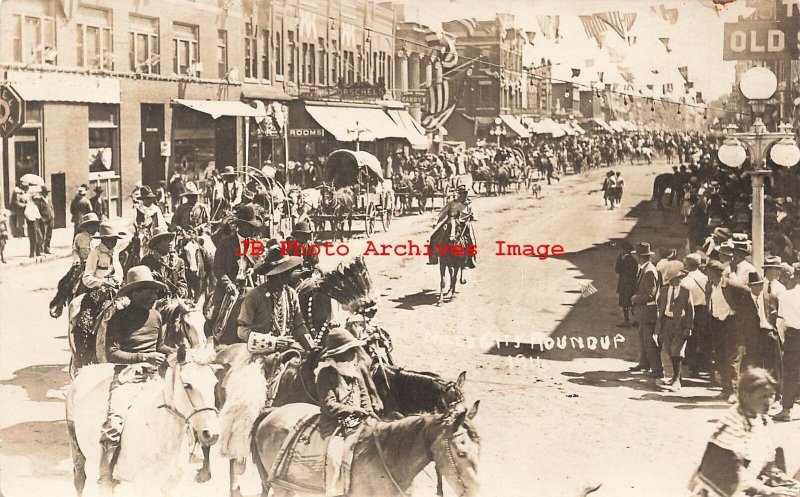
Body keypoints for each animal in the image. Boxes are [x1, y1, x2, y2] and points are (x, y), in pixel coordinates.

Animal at [66, 344, 220, 496]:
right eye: (187, 385)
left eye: (214, 383)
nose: (212, 434)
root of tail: (86, 369)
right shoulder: (142, 484)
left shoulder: (171, 485)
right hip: (76, 448)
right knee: (80, 479)